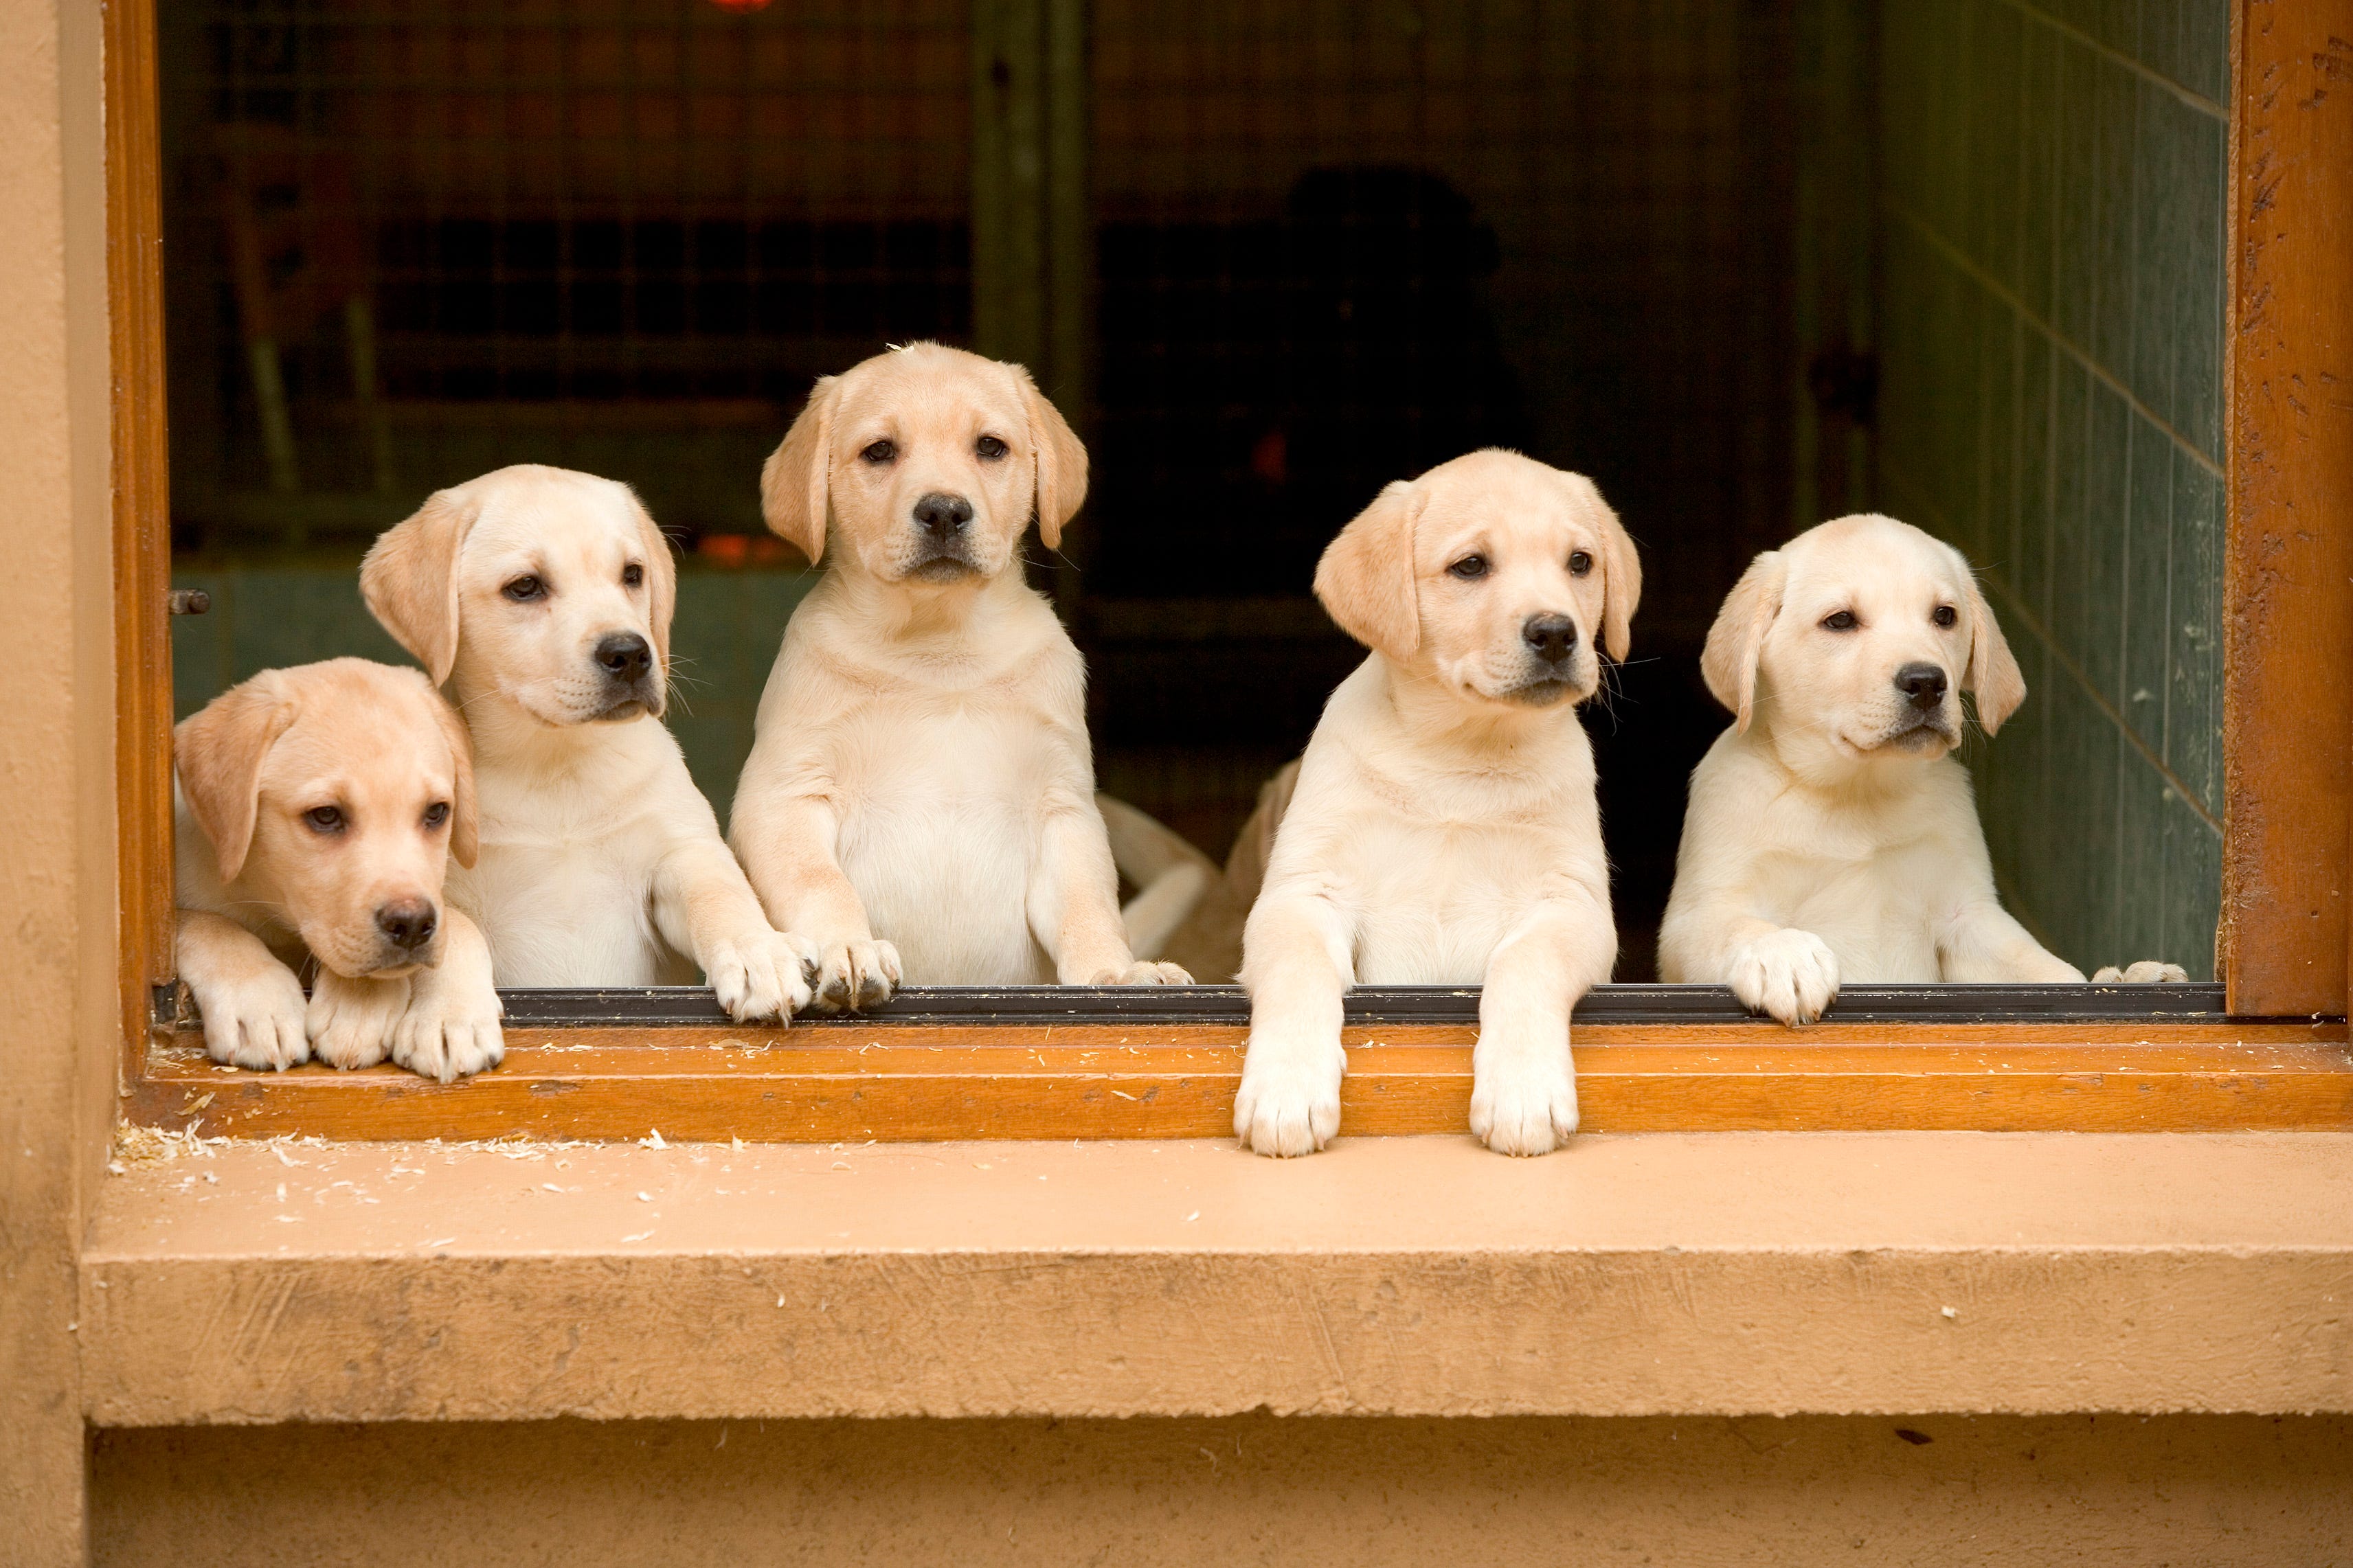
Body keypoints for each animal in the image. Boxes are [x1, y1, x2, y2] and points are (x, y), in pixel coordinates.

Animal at [175, 658, 506, 1081]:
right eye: (326, 815)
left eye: (436, 812)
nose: (412, 924)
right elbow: (208, 925)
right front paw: (259, 1001)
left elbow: (458, 924)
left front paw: (447, 1015)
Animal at [357, 463, 814, 1020]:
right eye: (525, 587)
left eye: (632, 574)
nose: (631, 654)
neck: (556, 764)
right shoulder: (429, 885)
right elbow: (455, 936)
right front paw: (450, 1012)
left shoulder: (681, 852)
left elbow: (722, 896)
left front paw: (757, 953)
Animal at [729, 343, 1186, 1005]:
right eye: (879, 452)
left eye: (990, 447)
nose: (944, 510)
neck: (939, 650)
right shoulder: (783, 796)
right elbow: (821, 882)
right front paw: (850, 947)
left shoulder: (1063, 808)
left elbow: (1088, 907)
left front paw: (1114, 973)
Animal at [1232, 446, 1637, 1161]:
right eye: (1470, 566)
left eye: (1579, 562)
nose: (1556, 633)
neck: (1459, 756)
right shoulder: (1301, 894)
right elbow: (1299, 967)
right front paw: (1285, 1088)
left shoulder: (1573, 904)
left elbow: (1524, 961)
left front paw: (1523, 1089)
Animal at [1656, 517, 2183, 1030]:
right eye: (1840, 621)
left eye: (1944, 616)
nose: (1927, 682)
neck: (1857, 792)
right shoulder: (1698, 917)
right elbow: (1733, 926)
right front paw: (1782, 953)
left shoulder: (1967, 916)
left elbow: (2048, 973)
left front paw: (2124, 980)